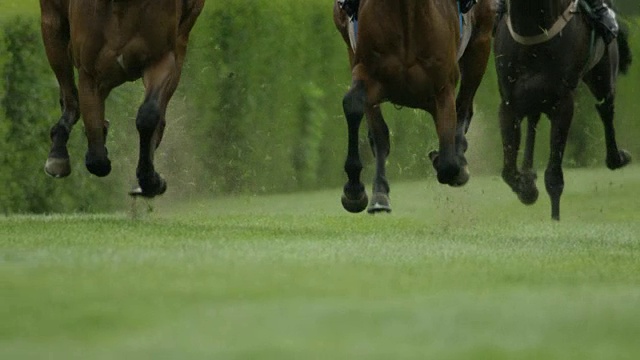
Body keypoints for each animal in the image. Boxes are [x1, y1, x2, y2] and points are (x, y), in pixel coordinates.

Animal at [39, 0, 202, 197]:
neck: (122, 5)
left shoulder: (161, 59)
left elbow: (148, 115)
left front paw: (150, 180)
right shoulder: (90, 74)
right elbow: (96, 157)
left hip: (181, 40)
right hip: (52, 28)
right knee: (70, 99)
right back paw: (58, 155)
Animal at [336, 0, 496, 212]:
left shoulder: (443, 86)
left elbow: (448, 164)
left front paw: (448, 160)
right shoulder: (367, 71)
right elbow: (353, 105)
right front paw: (354, 190)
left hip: (480, 44)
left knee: (464, 107)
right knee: (379, 134)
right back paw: (379, 193)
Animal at [492, 0, 632, 219]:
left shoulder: (563, 104)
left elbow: (554, 177)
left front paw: (554, 220)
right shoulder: (509, 104)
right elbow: (508, 171)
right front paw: (527, 188)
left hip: (603, 72)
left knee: (605, 109)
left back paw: (617, 158)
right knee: (533, 119)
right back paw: (528, 172)